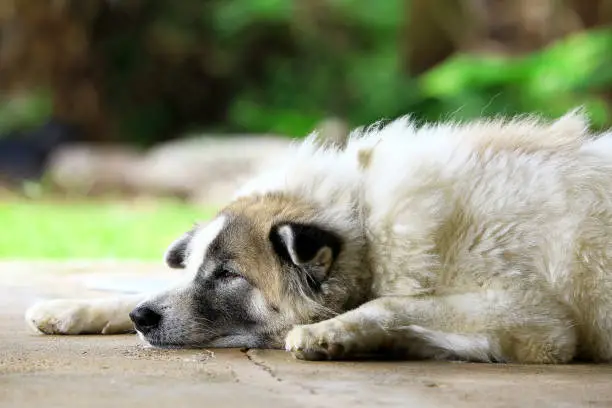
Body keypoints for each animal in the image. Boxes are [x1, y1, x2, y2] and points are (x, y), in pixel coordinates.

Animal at [26, 111, 612, 364]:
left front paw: (333, 332)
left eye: (228, 275)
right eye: (193, 269)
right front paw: (71, 308)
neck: (367, 229)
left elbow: (391, 302)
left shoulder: (538, 323)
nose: (141, 320)